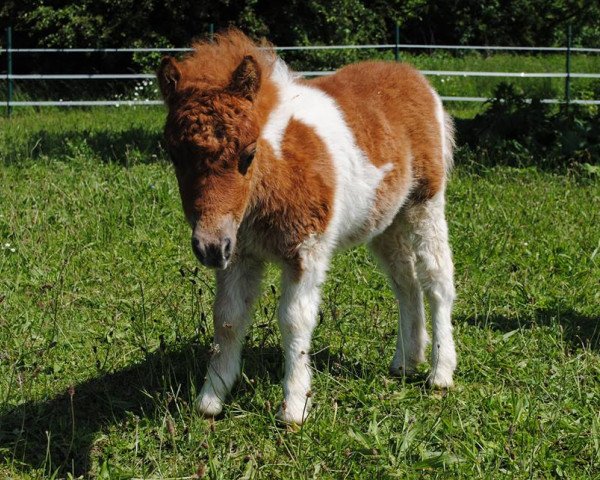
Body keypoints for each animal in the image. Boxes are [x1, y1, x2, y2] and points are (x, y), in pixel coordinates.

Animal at [157, 30, 458, 424]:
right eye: (174, 155)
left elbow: (294, 321)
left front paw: (294, 406)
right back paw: (407, 361)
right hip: (385, 221)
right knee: (405, 282)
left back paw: (441, 372)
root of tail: (415, 77)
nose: (209, 247)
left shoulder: (305, 251)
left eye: (248, 154)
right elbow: (228, 318)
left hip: (425, 204)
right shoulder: (239, 252)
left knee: (436, 279)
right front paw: (211, 398)